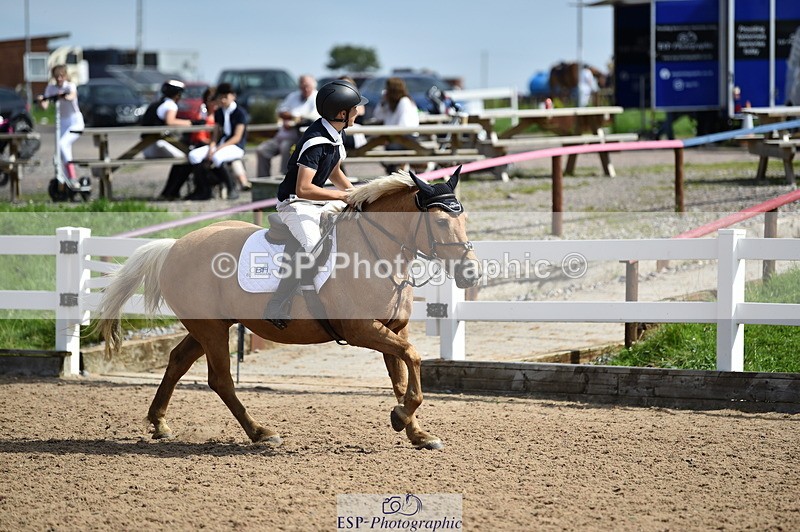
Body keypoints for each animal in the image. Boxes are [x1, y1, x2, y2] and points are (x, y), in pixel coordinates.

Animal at [96, 168, 481, 450]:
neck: (375, 253)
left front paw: (415, 430)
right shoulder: (362, 330)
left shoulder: (393, 329)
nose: (471, 274)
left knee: (177, 360)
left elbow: (402, 376)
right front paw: (402, 418)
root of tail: (175, 245)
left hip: (208, 326)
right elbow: (413, 357)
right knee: (221, 380)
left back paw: (159, 423)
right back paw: (261, 433)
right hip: (212, 330)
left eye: (463, 221)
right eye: (441, 222)